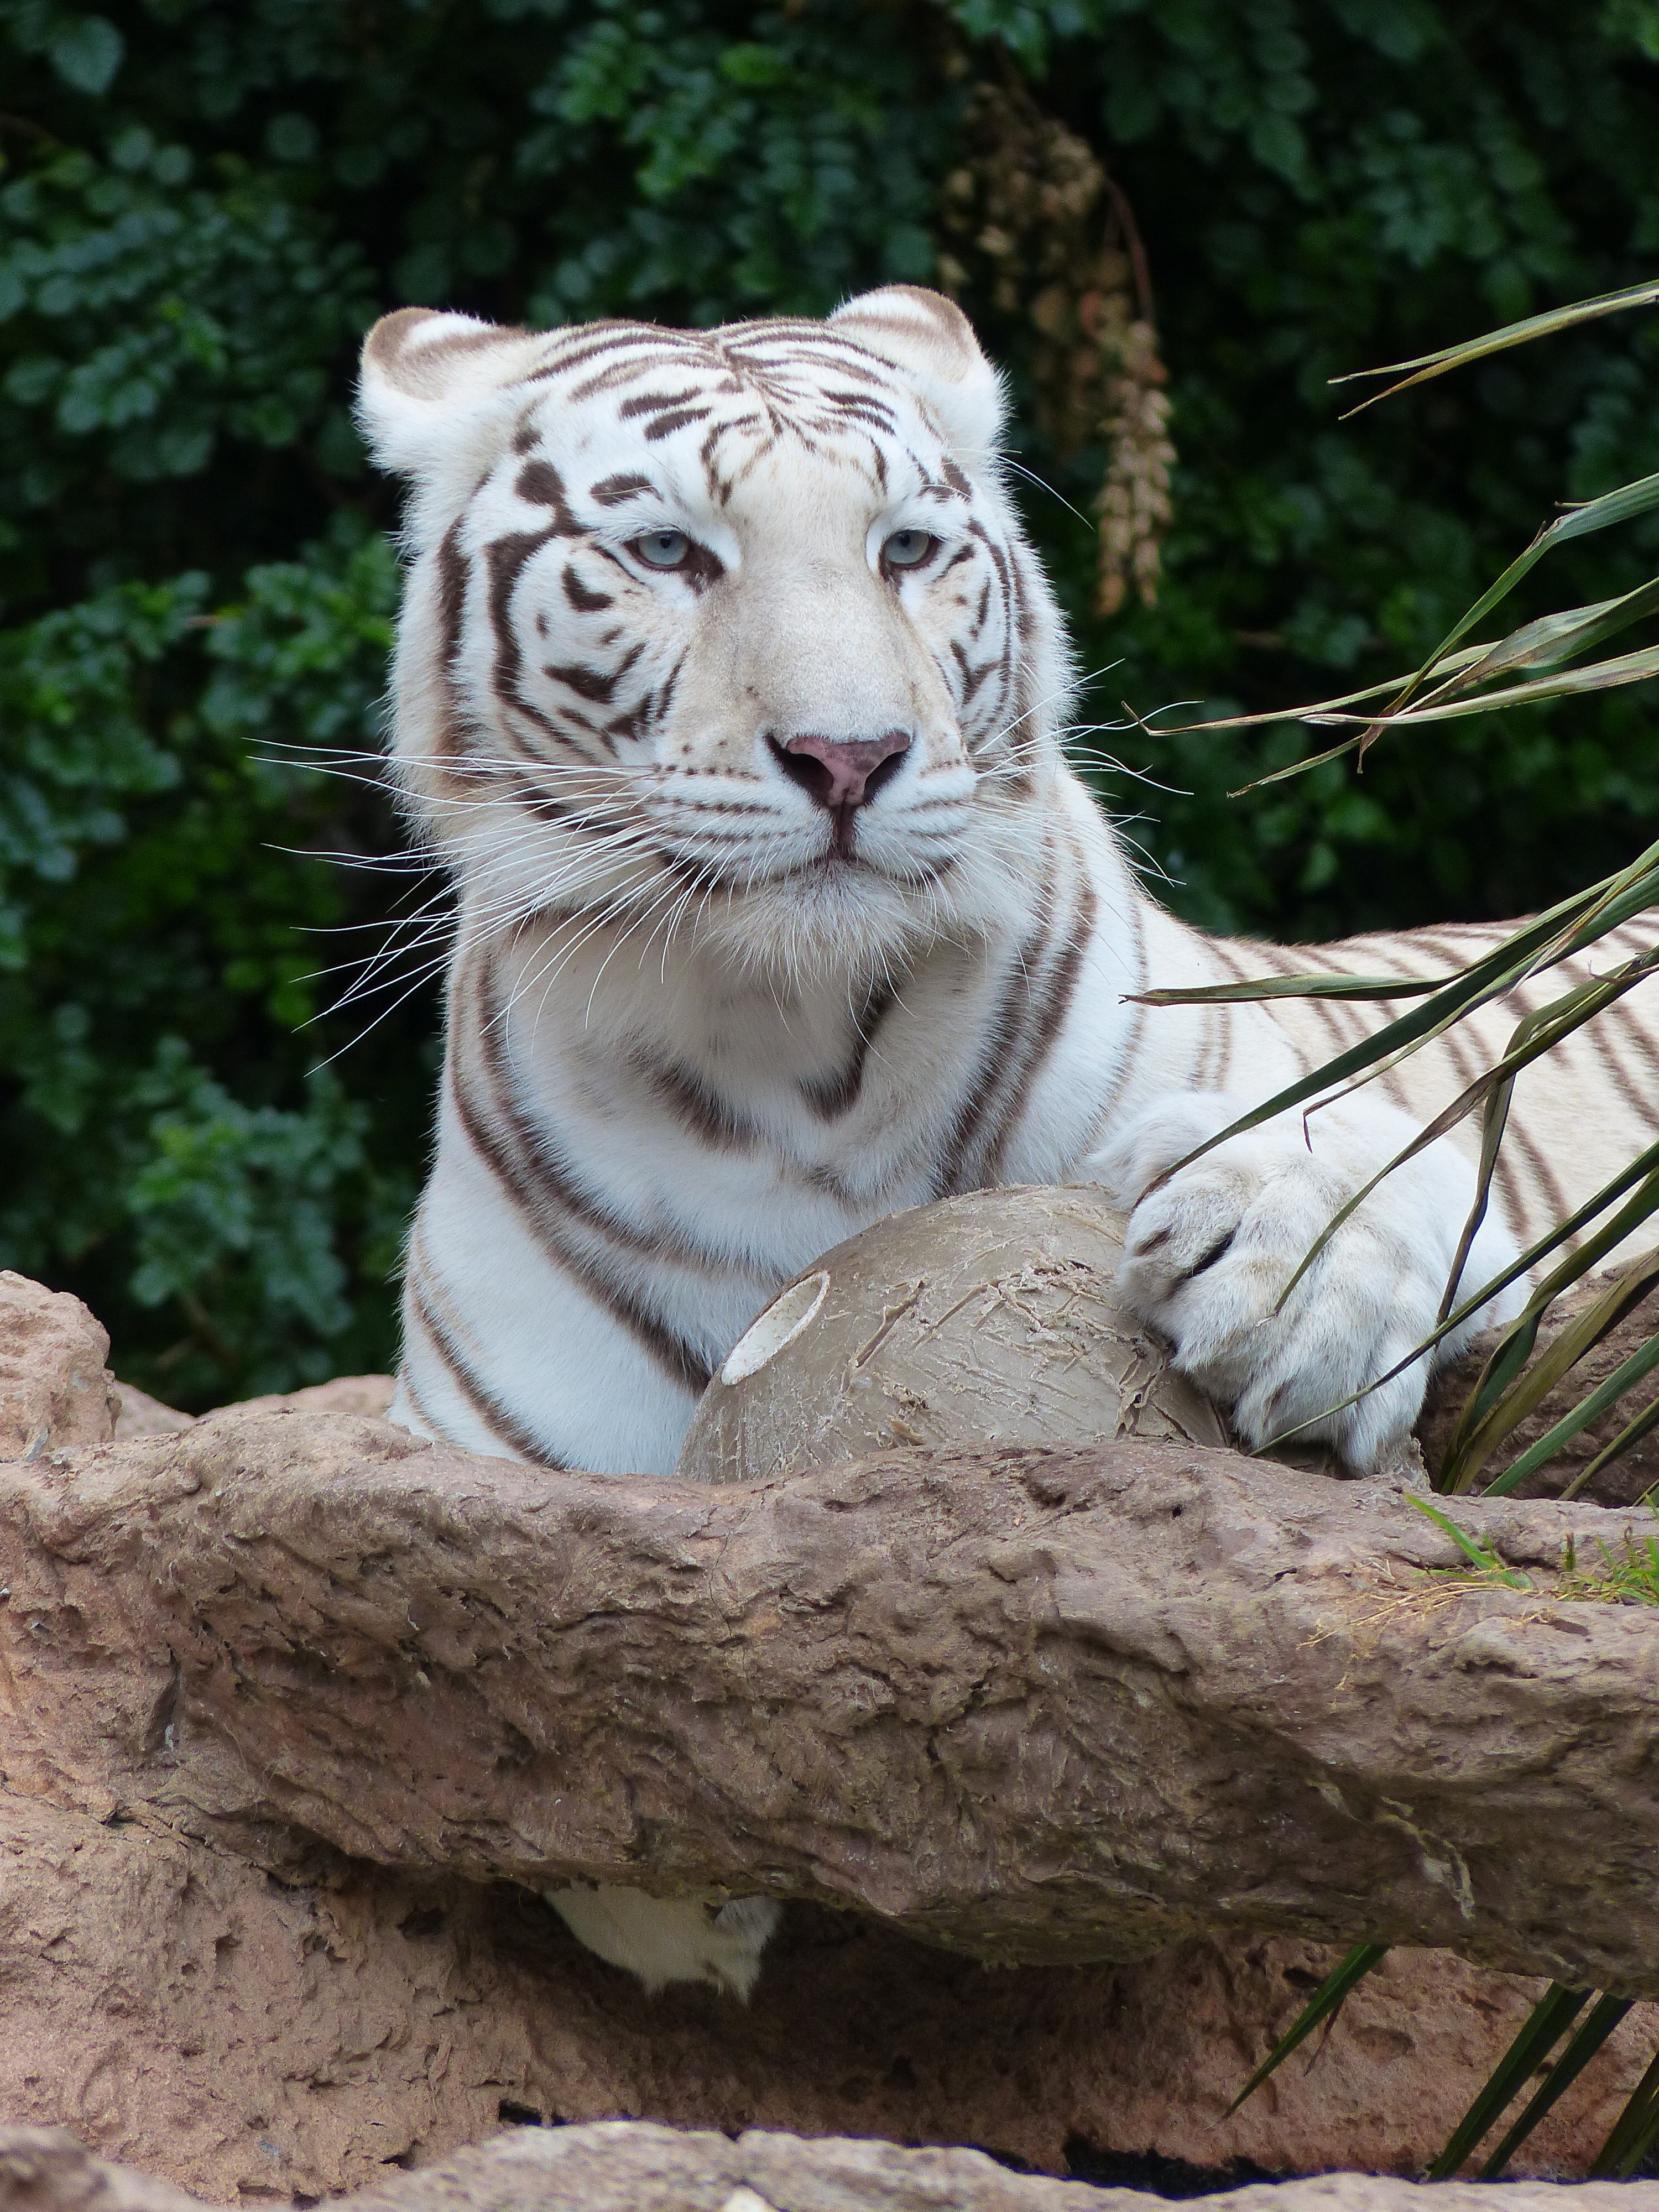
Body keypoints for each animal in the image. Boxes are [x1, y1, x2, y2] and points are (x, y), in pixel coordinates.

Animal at [358, 281, 1659, 2008]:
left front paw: (1292, 1291)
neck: (789, 1055)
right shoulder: (513, 1449)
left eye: (906, 548)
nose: (849, 757)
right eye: (670, 553)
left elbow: (1371, 1148)